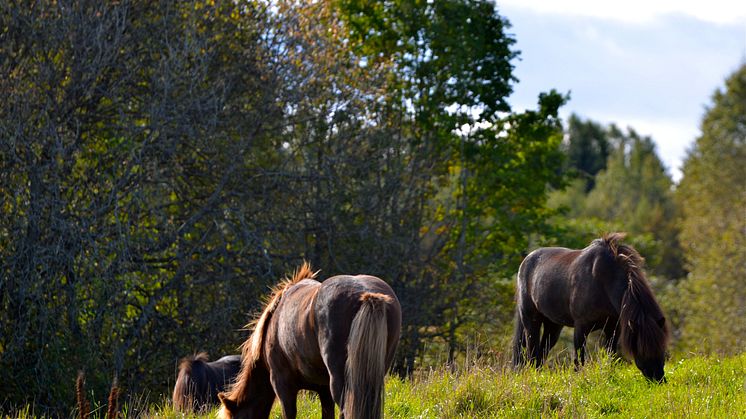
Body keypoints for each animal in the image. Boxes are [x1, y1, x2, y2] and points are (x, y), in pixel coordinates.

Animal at [512, 233, 668, 384]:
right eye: (642, 349)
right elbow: (579, 358)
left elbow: (610, 354)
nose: (659, 379)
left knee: (542, 352)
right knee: (532, 352)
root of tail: (526, 261)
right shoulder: (581, 327)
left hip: (553, 325)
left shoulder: (613, 328)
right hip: (531, 320)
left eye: (662, 347)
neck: (602, 280)